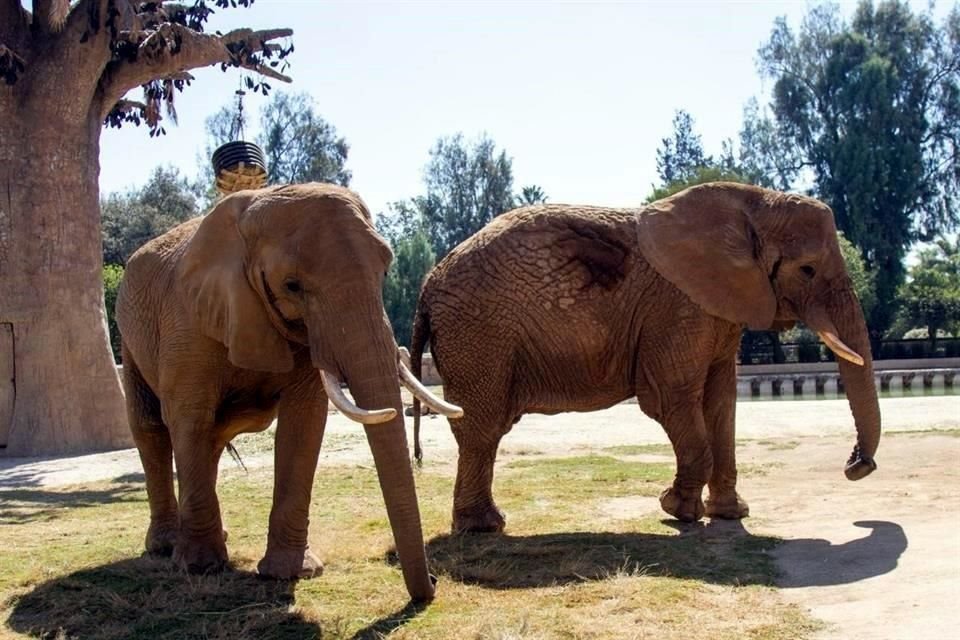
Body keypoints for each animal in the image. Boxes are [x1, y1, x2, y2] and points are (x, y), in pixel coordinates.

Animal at [116, 182, 462, 604]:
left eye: (384, 271)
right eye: (292, 286)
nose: (433, 583)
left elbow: (304, 423)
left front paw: (292, 572)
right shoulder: (188, 322)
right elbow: (189, 416)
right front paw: (198, 567)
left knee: (210, 439)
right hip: (130, 335)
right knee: (154, 429)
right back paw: (167, 546)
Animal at [408, 182, 880, 532]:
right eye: (807, 269)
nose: (856, 465)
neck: (750, 204)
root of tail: (426, 286)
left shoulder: (717, 307)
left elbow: (721, 401)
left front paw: (731, 514)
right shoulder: (676, 309)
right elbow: (673, 399)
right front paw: (677, 511)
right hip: (479, 336)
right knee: (483, 427)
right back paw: (484, 528)